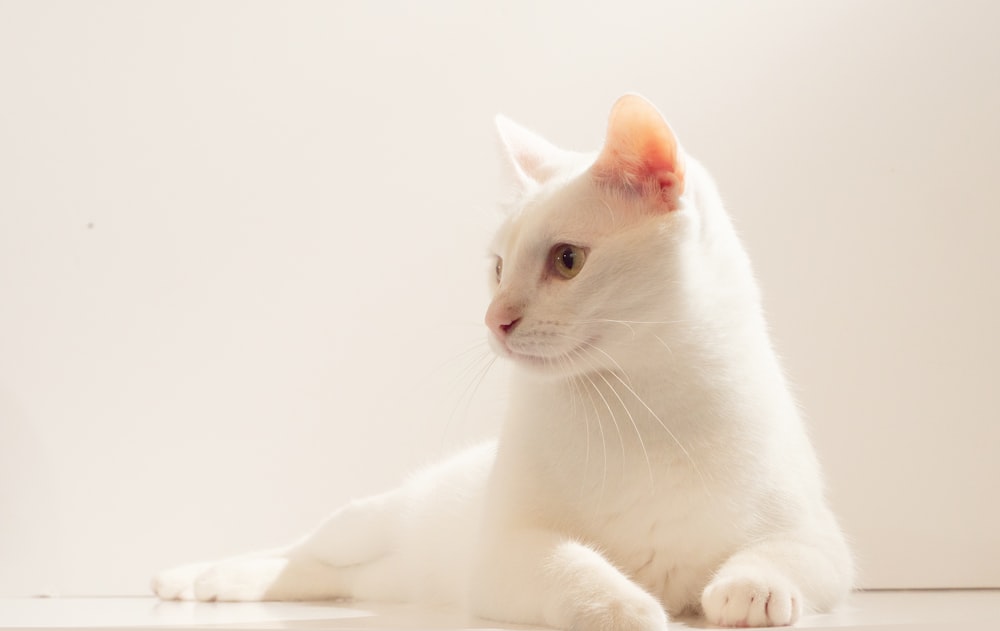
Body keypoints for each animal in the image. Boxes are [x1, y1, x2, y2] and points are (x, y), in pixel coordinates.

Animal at [154, 95, 852, 631]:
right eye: (496, 268)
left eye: (567, 261)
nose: (494, 320)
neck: (638, 405)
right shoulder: (504, 551)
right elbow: (574, 567)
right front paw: (628, 605)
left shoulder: (823, 541)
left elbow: (784, 554)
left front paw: (749, 589)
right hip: (364, 521)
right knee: (297, 548)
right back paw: (196, 577)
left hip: (373, 572)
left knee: (316, 574)